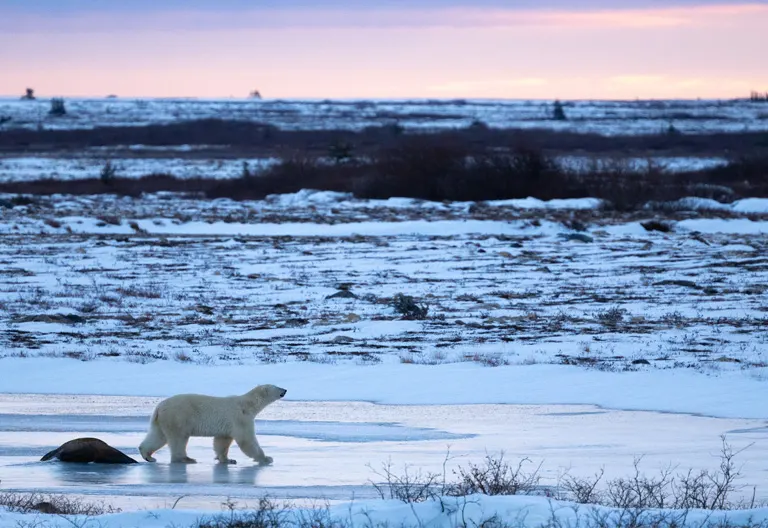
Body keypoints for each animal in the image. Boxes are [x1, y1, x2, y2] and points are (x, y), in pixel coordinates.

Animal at [138, 384, 287, 465]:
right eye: (277, 387)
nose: (285, 390)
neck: (247, 405)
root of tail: (159, 406)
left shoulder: (228, 425)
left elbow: (222, 441)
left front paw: (228, 460)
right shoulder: (240, 418)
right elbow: (247, 440)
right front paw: (266, 458)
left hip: (162, 421)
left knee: (158, 436)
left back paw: (148, 456)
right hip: (178, 417)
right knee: (178, 438)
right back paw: (186, 459)